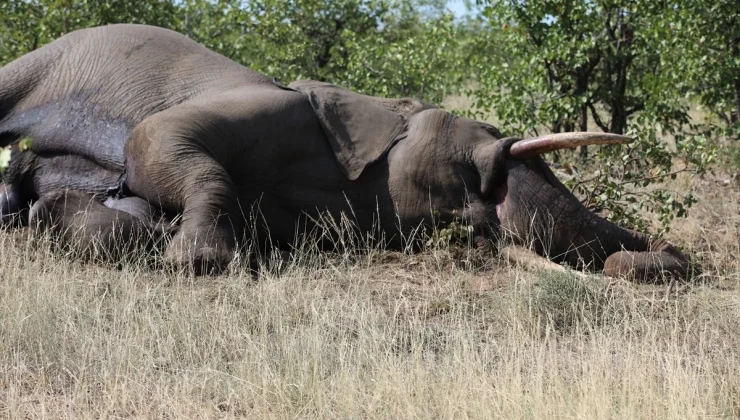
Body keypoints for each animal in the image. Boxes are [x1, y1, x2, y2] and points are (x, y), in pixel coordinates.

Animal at [0, 22, 692, 278]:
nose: (673, 255)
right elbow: (154, 139)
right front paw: (199, 262)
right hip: (38, 62)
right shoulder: (281, 105)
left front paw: (51, 213)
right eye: (484, 138)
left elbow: (131, 214)